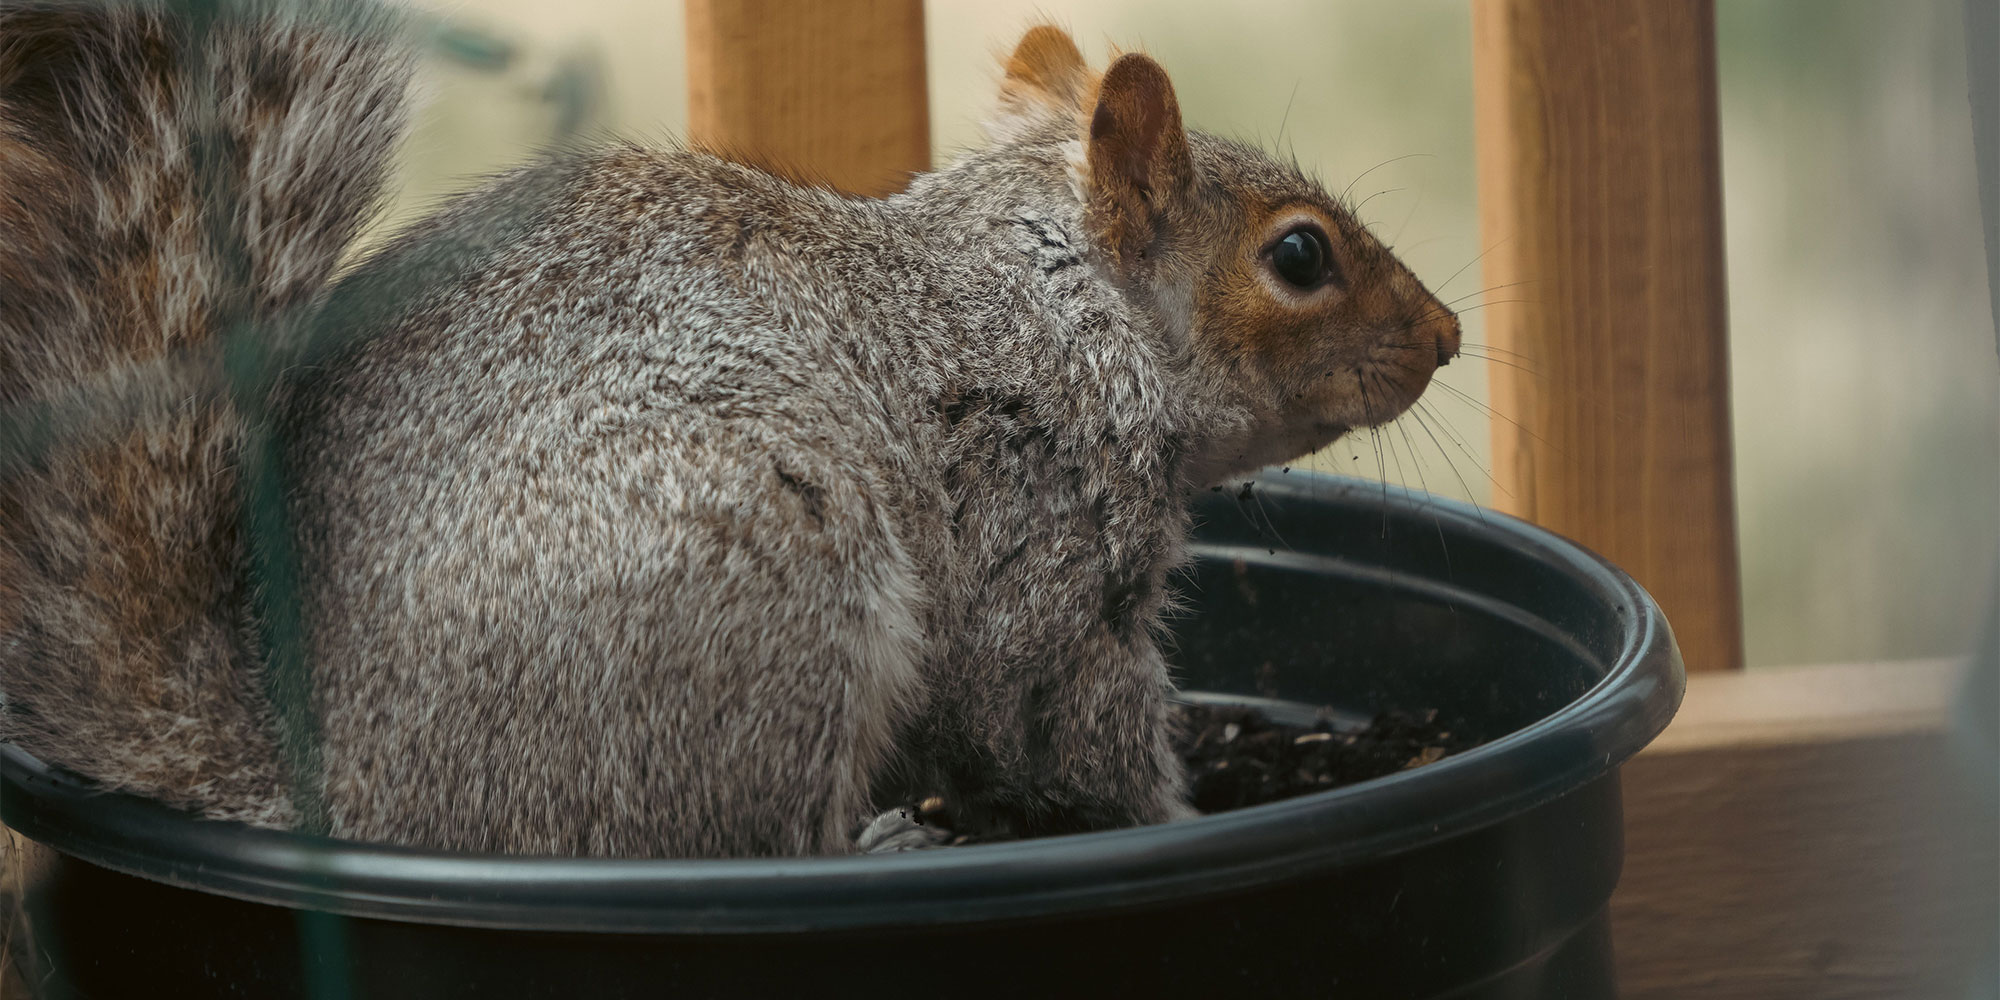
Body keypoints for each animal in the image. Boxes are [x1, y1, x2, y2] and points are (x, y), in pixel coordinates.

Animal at [0, 0, 1461, 857]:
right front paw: (1173, 814)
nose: (1448, 335)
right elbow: (1062, 718)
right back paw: (879, 848)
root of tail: (332, 780)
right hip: (763, 592)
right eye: (1299, 256)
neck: (1056, 307)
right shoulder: (1033, 536)